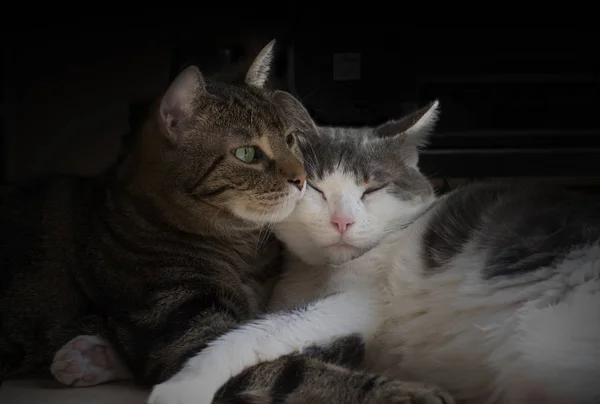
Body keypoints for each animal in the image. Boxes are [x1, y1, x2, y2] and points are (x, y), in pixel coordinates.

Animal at [50, 100, 600, 404]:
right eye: (313, 188)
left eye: (372, 190)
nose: (343, 221)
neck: (312, 275)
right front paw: (91, 356)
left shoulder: (357, 301)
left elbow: (250, 333)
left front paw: (179, 389)